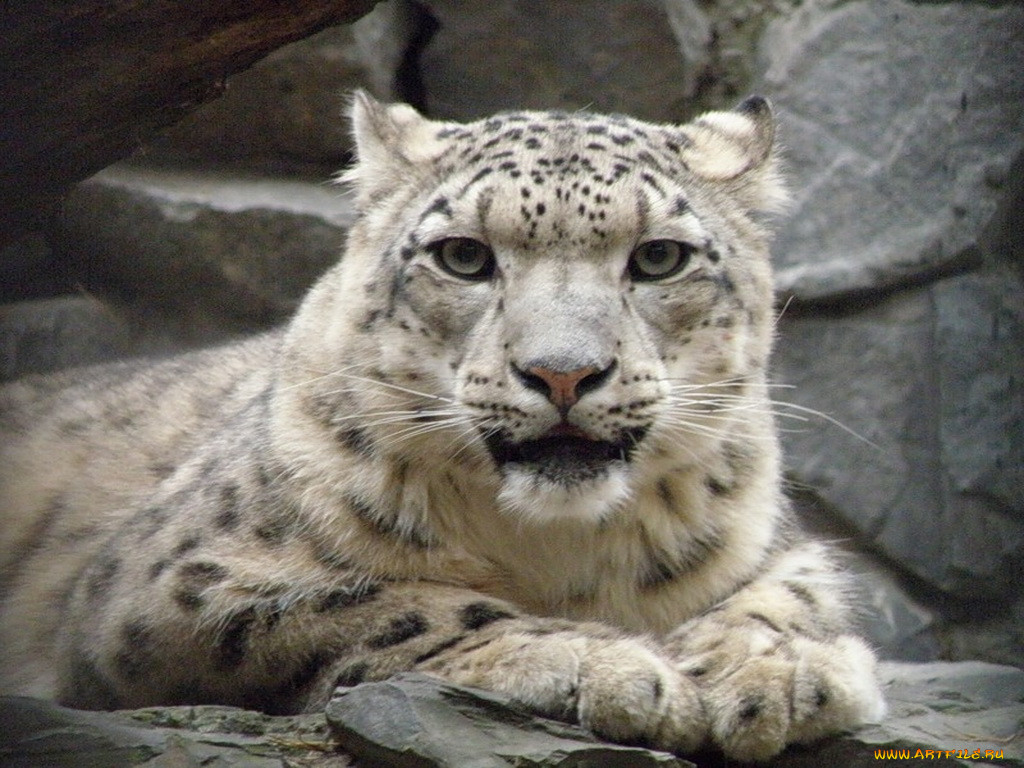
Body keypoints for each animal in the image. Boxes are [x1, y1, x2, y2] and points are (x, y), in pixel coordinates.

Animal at [0, 91, 880, 765]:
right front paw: (603, 663)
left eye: (660, 258)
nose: (564, 372)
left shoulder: (779, 542)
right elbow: (397, 601)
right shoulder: (170, 586)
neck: (559, 545)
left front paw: (775, 671)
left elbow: (794, 594)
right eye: (463, 256)